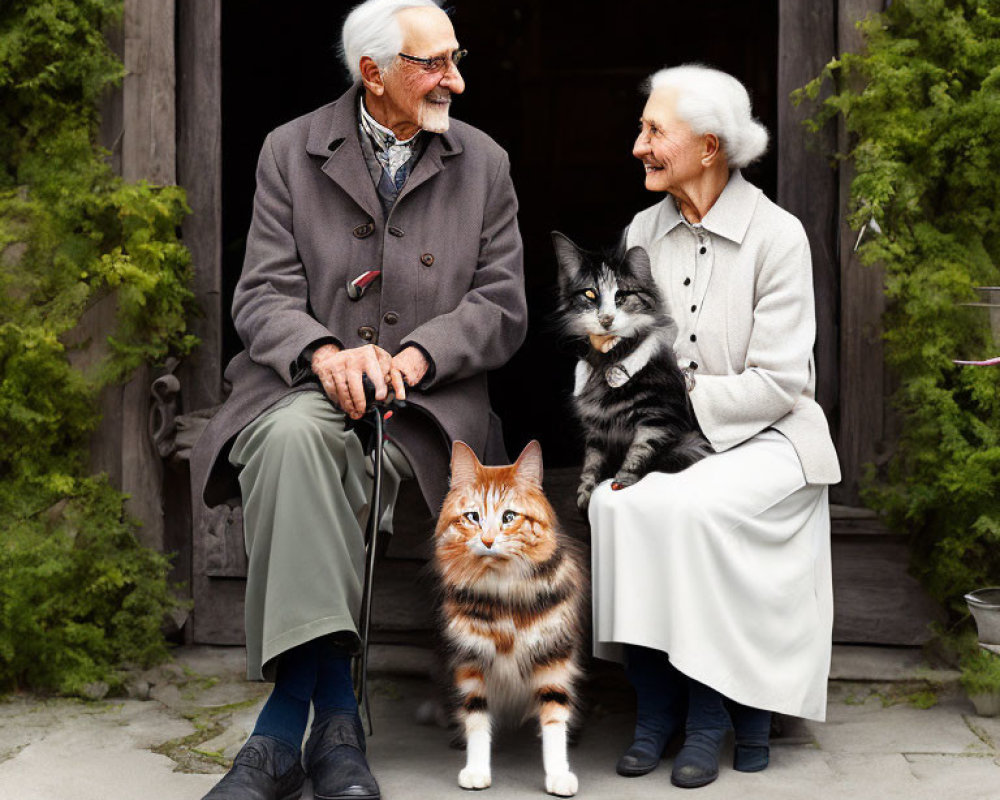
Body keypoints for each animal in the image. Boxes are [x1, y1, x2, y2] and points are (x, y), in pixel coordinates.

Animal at [432, 440, 584, 796]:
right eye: (473, 517)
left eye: (509, 517)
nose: (488, 540)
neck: (505, 596)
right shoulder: (471, 660)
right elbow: (476, 718)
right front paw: (476, 770)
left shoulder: (553, 657)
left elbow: (555, 719)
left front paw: (559, 774)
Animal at [552, 230, 708, 512]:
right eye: (590, 294)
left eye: (621, 296)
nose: (606, 319)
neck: (609, 357)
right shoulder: (597, 427)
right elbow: (592, 462)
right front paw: (586, 495)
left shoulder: (658, 417)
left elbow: (640, 450)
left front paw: (621, 482)